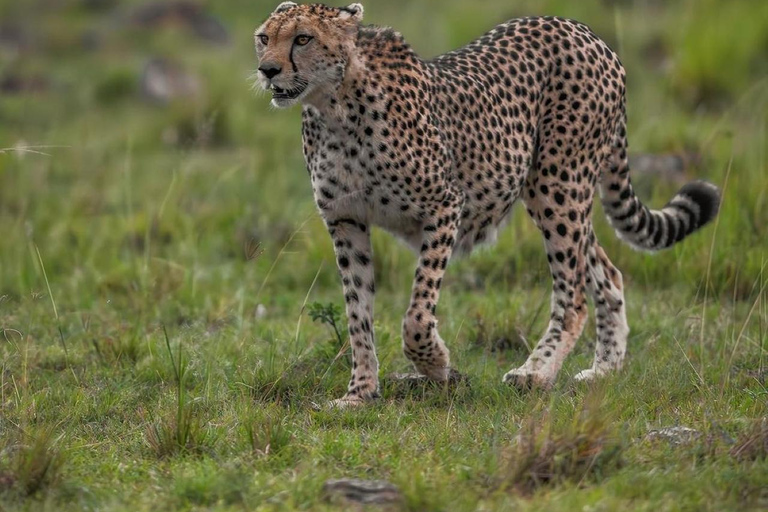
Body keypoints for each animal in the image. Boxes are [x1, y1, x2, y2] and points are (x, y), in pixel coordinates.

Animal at [252, 2, 720, 406]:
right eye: (263, 38)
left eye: (303, 39)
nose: (267, 70)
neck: (334, 107)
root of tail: (582, 30)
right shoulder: (346, 220)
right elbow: (357, 314)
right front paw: (360, 394)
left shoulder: (444, 205)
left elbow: (416, 315)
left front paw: (436, 367)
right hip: (566, 193)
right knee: (607, 271)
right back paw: (603, 370)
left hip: (556, 184)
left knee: (573, 296)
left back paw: (536, 373)